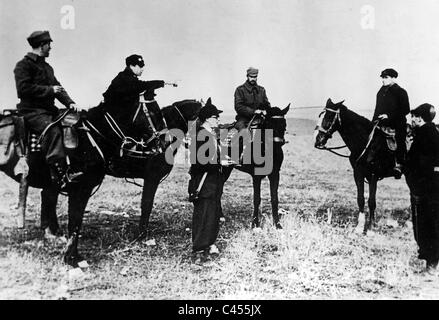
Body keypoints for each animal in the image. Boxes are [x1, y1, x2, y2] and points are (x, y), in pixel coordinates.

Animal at [0, 98, 201, 264]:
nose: (160, 143)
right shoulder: (151, 178)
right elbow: (147, 204)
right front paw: (142, 234)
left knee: (48, 196)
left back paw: (53, 232)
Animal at [312, 97, 398, 232]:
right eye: (320, 115)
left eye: (329, 117)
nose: (317, 140)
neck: (366, 143)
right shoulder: (358, 173)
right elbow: (361, 199)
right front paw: (359, 227)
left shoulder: (373, 175)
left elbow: (371, 201)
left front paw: (370, 228)